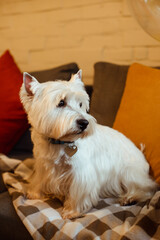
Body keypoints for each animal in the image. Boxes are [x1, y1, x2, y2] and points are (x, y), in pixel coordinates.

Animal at [19, 70, 156, 219]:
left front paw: (71, 211)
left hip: (129, 173)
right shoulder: (43, 165)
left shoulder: (81, 174)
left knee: (147, 188)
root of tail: (141, 154)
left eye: (80, 104)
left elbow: (78, 193)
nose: (84, 123)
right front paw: (34, 193)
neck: (60, 142)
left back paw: (130, 198)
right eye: (61, 102)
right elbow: (39, 180)